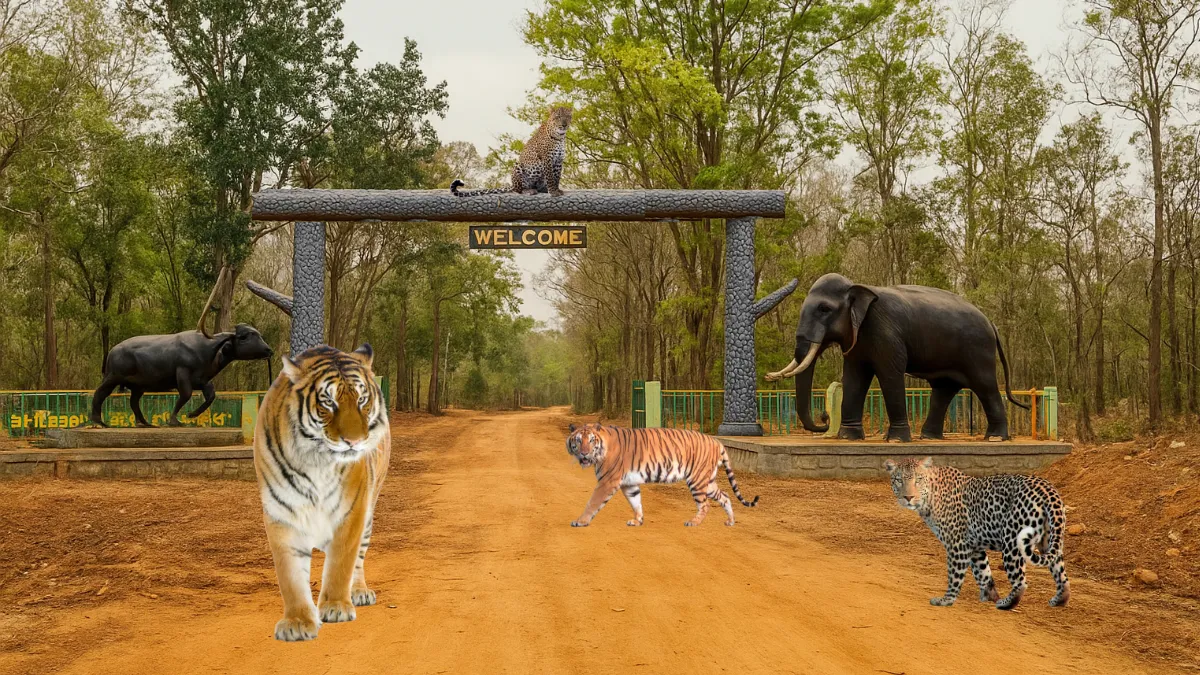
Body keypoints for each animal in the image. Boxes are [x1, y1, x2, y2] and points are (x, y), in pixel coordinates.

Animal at [253, 344, 390, 642]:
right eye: (328, 402)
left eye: (362, 400)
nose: (354, 442)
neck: (316, 460)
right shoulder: (282, 514)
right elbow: (290, 575)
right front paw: (297, 622)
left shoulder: (352, 511)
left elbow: (341, 563)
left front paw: (336, 607)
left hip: (369, 512)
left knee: (358, 558)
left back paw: (359, 592)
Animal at [565, 424, 759, 527]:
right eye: (577, 440)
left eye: (591, 440)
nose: (584, 454)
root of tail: (717, 441)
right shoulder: (629, 484)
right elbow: (636, 502)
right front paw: (638, 521)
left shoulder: (607, 481)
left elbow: (592, 502)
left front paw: (580, 521)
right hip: (708, 481)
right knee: (725, 496)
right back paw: (730, 521)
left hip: (697, 480)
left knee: (705, 505)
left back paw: (693, 522)